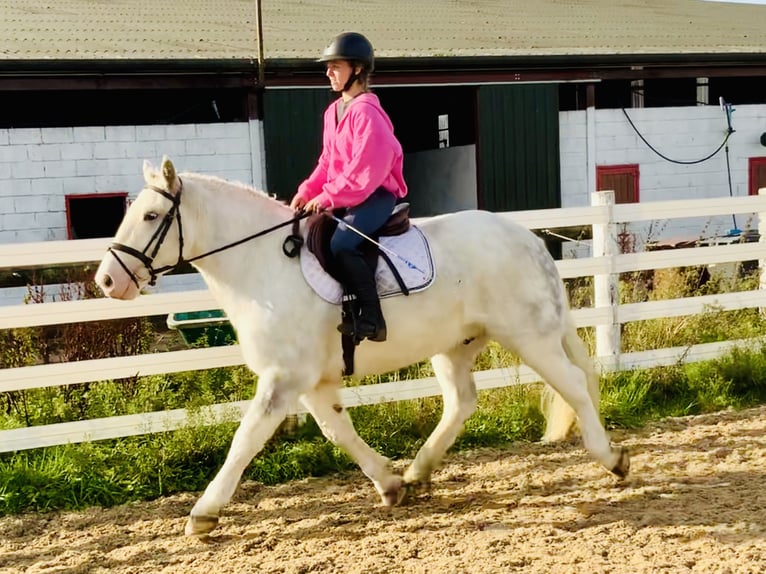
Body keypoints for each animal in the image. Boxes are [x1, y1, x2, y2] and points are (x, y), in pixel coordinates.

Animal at [94, 158, 632, 540]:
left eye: (151, 215)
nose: (106, 280)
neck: (260, 266)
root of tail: (528, 238)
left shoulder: (283, 378)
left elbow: (245, 440)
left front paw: (203, 514)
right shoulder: (310, 380)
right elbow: (339, 432)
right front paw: (389, 485)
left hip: (529, 336)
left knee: (574, 387)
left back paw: (611, 458)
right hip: (454, 346)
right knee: (462, 403)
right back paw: (417, 473)